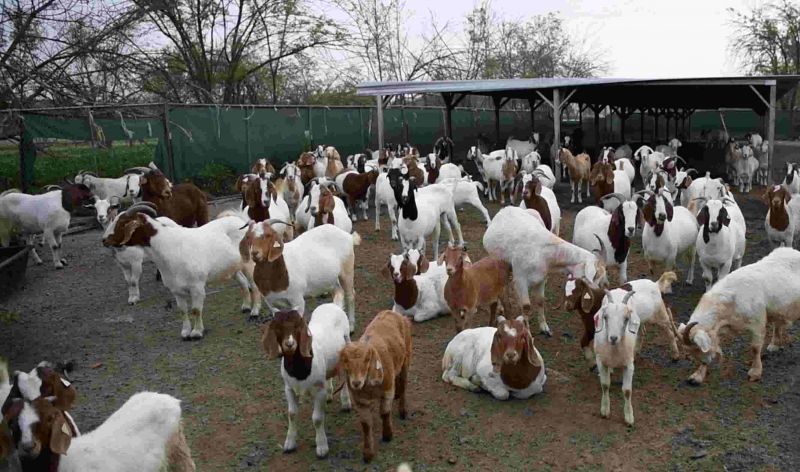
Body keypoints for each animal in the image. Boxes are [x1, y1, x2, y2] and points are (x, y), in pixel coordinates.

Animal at [102, 203, 257, 339]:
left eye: (122, 223)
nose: (104, 240)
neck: (169, 246)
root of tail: (240, 220)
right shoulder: (175, 289)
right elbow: (183, 310)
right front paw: (185, 332)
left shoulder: (197, 286)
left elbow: (196, 309)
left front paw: (197, 333)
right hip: (233, 267)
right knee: (243, 282)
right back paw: (245, 307)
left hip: (248, 263)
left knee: (254, 286)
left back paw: (254, 313)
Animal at [261, 305, 351, 458]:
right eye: (278, 327)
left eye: (298, 326)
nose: (289, 344)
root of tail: (332, 304)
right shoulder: (289, 388)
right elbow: (292, 414)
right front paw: (289, 443)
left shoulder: (318, 390)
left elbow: (317, 419)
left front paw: (322, 447)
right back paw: (329, 395)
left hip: (347, 344)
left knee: (345, 375)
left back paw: (346, 403)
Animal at [338, 310, 412, 463]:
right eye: (345, 362)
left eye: (367, 360)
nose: (356, 383)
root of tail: (392, 312)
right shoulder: (360, 401)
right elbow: (366, 425)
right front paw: (368, 454)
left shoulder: (387, 390)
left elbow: (384, 413)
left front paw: (387, 435)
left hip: (406, 358)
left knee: (403, 384)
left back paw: (403, 410)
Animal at [483, 206, 608, 336]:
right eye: (594, 275)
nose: (597, 294)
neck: (543, 252)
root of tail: (505, 209)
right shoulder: (520, 279)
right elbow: (526, 306)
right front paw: (527, 332)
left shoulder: (542, 278)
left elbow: (540, 301)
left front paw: (544, 328)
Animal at [677, 247, 800, 384]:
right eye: (691, 351)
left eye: (698, 348)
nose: (706, 361)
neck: (733, 299)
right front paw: (697, 376)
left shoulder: (757, 322)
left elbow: (755, 348)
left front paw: (755, 373)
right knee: (778, 323)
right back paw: (774, 345)